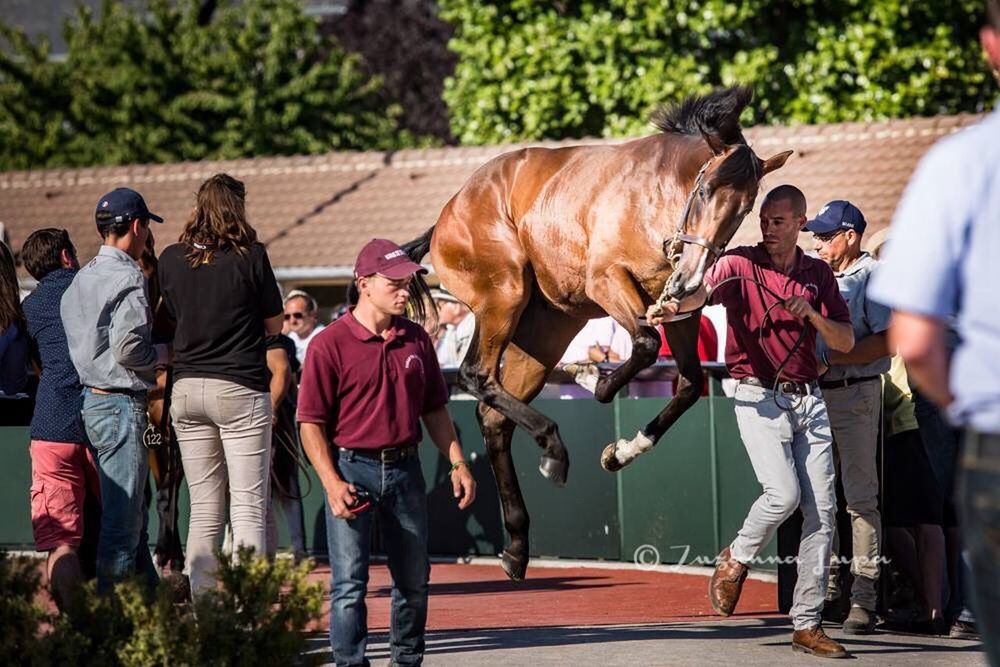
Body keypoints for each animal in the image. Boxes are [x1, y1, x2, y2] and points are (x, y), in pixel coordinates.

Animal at [402, 86, 792, 580]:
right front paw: (596, 380)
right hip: (503, 293)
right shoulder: (607, 281)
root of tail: (450, 211)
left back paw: (517, 544)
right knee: (475, 375)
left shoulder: (680, 311)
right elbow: (645, 346)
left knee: (493, 416)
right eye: (704, 191)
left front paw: (622, 450)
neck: (658, 199)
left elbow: (688, 384)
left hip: (547, 329)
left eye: (745, 208)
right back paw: (553, 448)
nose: (690, 275)